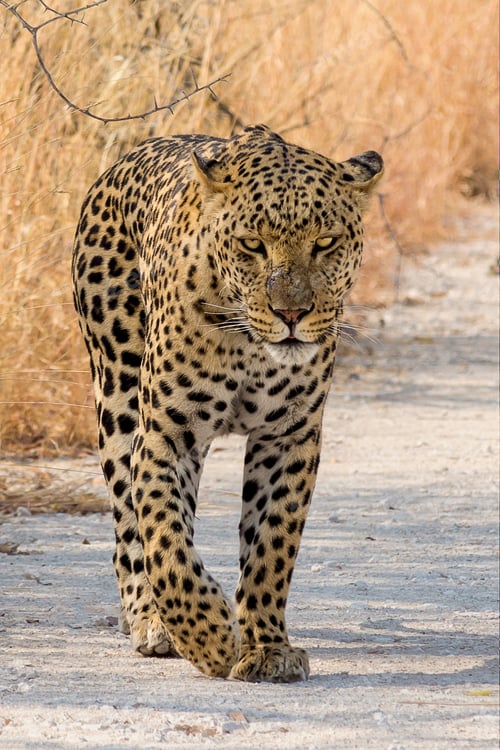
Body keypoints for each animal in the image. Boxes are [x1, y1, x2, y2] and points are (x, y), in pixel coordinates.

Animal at [72, 124, 383, 682]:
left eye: (325, 243)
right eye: (252, 245)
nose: (291, 314)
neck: (250, 347)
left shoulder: (289, 438)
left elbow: (271, 546)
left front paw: (268, 647)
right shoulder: (166, 435)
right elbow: (163, 537)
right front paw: (210, 636)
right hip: (117, 401)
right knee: (130, 526)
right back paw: (150, 620)